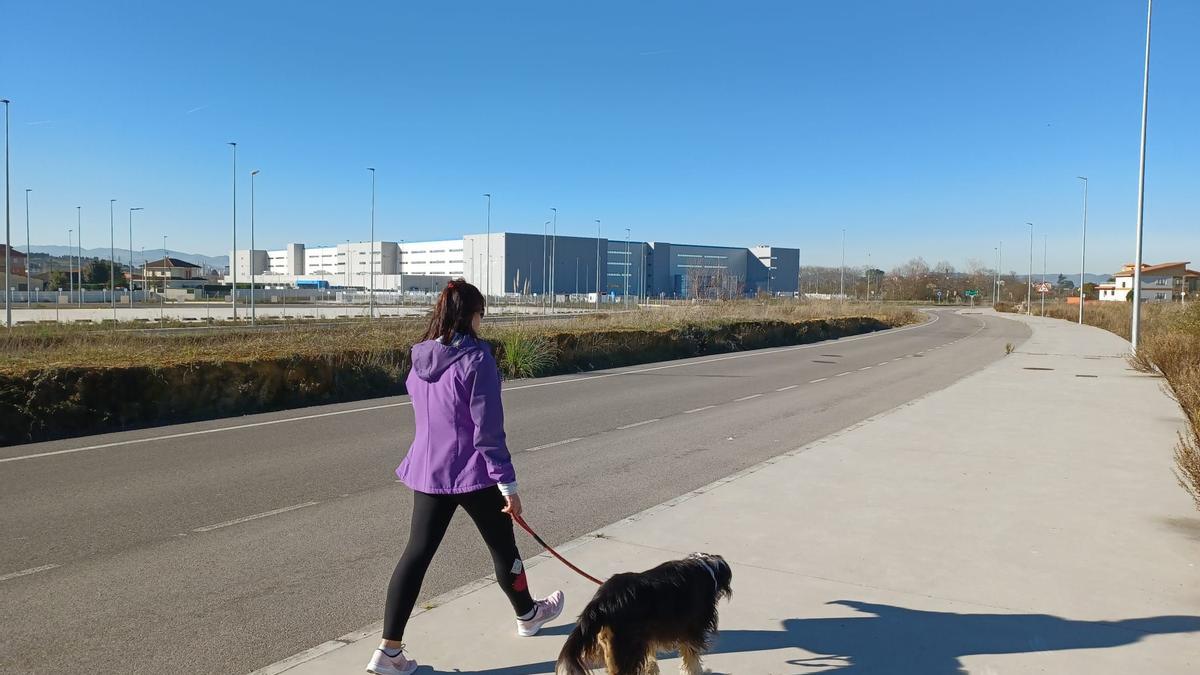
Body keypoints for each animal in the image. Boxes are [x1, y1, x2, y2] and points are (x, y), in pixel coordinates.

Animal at [554, 552, 729, 672]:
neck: (706, 568)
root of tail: (602, 601)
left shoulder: (648, 636)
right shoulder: (691, 633)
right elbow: (692, 662)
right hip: (625, 648)